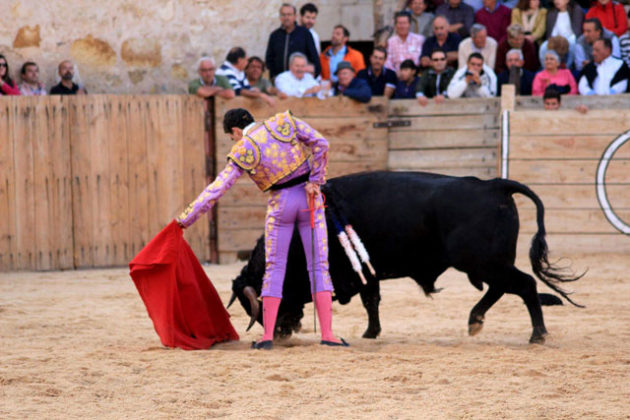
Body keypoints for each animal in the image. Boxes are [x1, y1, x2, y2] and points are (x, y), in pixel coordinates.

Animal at [228, 171, 584, 344]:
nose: (279, 332)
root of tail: (493, 186)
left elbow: (367, 300)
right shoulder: (367, 273)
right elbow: (372, 301)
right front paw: (371, 333)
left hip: (483, 262)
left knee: (524, 286)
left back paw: (537, 335)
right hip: (489, 264)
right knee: (502, 289)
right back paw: (475, 321)